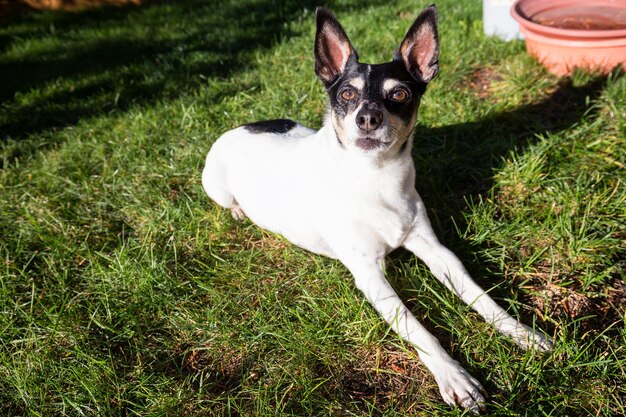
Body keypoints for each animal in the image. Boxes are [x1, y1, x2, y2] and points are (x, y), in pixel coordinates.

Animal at [202, 4, 548, 412]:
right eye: (347, 93)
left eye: (399, 93)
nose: (368, 117)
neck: (376, 178)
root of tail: (239, 127)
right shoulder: (370, 275)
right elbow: (417, 329)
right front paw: (454, 377)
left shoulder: (437, 252)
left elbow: (481, 296)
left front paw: (522, 333)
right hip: (216, 186)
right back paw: (239, 212)